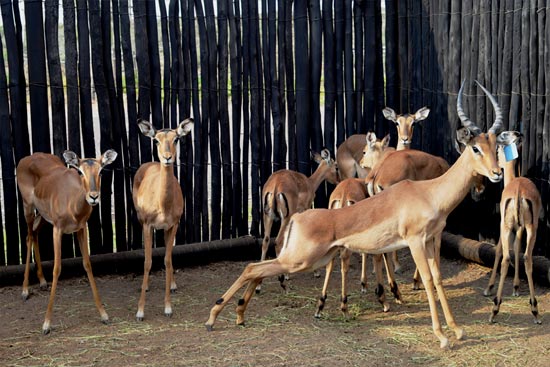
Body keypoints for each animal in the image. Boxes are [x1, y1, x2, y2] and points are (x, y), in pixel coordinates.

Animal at [18, 149, 118, 334]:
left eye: (101, 171)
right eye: (80, 171)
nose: (93, 197)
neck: (72, 204)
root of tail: (29, 157)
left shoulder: (81, 229)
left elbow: (87, 264)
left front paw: (104, 315)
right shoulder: (57, 230)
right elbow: (57, 268)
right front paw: (46, 324)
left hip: (42, 216)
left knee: (34, 234)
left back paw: (42, 282)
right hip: (28, 208)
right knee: (29, 236)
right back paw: (25, 290)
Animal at [134, 118, 194, 322]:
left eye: (176, 139)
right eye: (156, 140)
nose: (167, 157)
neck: (162, 204)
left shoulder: (173, 225)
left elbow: (167, 260)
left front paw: (168, 308)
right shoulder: (147, 225)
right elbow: (147, 261)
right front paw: (140, 312)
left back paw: (173, 285)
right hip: (142, 222)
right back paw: (145, 286)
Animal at [205, 81, 506, 350]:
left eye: (495, 147)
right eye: (475, 148)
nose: (496, 174)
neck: (430, 192)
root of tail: (298, 218)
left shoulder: (431, 241)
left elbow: (439, 278)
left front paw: (457, 330)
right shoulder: (416, 242)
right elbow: (428, 280)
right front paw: (442, 337)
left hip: (307, 258)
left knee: (258, 267)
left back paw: (239, 314)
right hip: (300, 260)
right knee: (252, 268)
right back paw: (213, 318)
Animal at [486, 130, 544, 324]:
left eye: (497, 151)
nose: (497, 170)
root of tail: (519, 190)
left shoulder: (511, 227)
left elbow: (504, 250)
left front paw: (492, 288)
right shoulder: (519, 228)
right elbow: (517, 248)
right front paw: (516, 287)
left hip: (513, 227)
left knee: (507, 257)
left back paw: (495, 309)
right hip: (531, 228)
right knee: (526, 257)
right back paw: (534, 310)